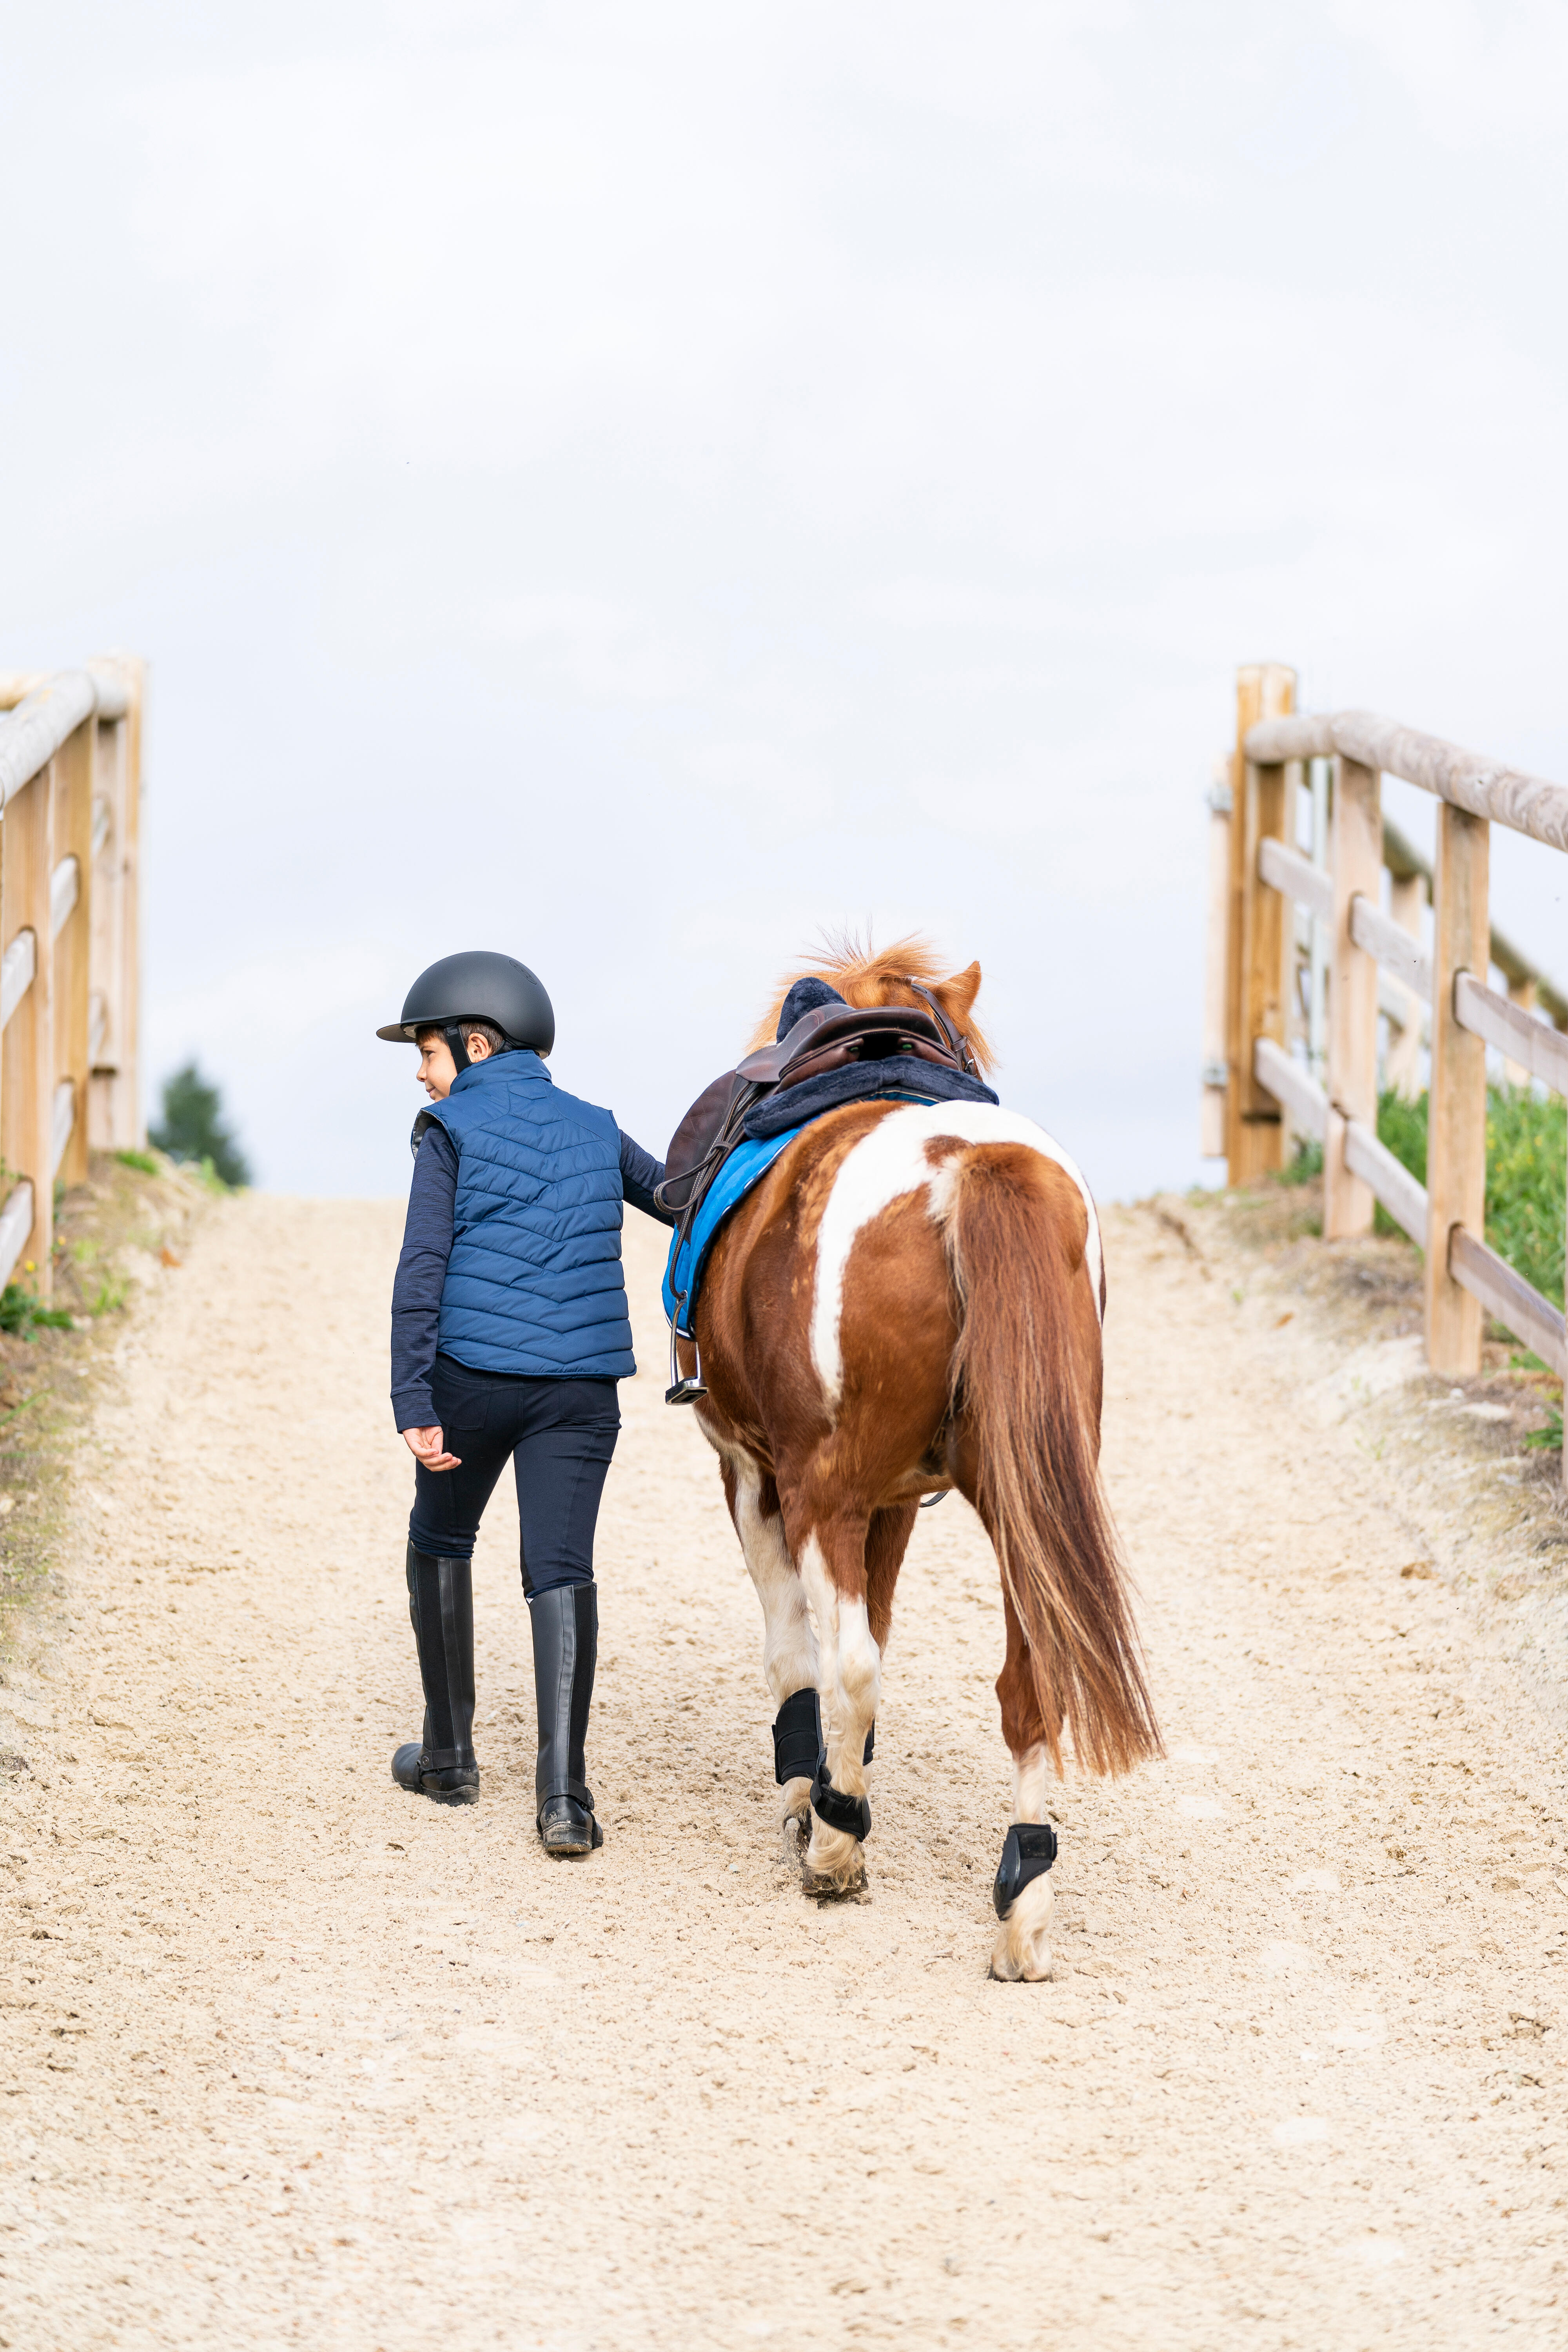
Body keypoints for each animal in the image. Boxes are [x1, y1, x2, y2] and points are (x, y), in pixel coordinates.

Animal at [682, 936, 1161, 1985]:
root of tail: (972, 1166)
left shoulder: (755, 1471)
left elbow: (802, 1654)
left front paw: (810, 1798)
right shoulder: (896, 1500)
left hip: (824, 1491)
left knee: (850, 1663)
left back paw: (836, 1845)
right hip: (1021, 1505)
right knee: (1031, 1683)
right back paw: (1023, 1904)